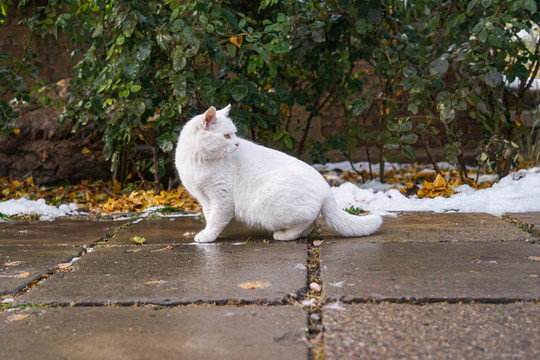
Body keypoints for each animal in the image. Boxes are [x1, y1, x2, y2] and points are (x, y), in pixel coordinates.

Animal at [175, 105, 382, 243]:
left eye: (233, 134)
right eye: (227, 136)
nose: (237, 143)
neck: (199, 161)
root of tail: (326, 187)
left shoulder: (222, 199)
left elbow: (216, 219)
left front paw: (207, 236)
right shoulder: (205, 199)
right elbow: (210, 216)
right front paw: (208, 232)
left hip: (268, 204)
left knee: (306, 220)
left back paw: (284, 235)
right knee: (311, 222)